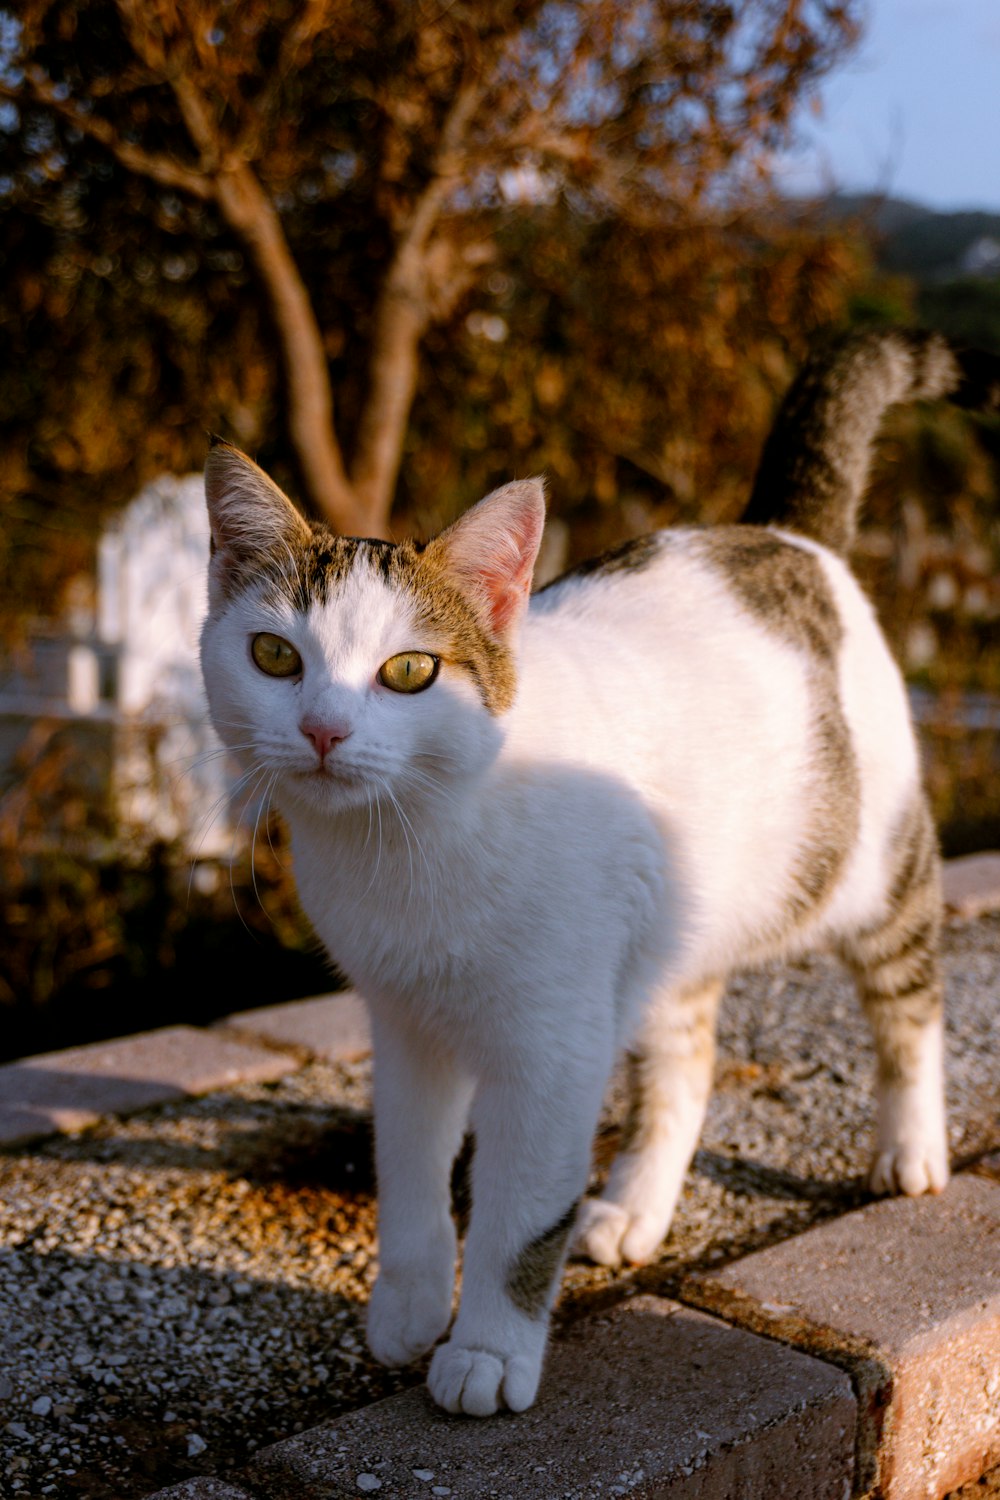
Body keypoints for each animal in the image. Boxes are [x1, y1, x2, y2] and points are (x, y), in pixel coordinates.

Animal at [197, 328, 1000, 1416]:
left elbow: (517, 1214)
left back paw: (909, 1147)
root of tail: (781, 534)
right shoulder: (404, 1025)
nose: (324, 730)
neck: (411, 837)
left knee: (908, 993)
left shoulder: (552, 1048)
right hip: (668, 930)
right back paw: (634, 1207)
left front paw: (488, 1350)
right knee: (688, 1061)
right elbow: (408, 1172)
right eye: (275, 657)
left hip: (872, 867)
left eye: (410, 671)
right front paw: (408, 1305)